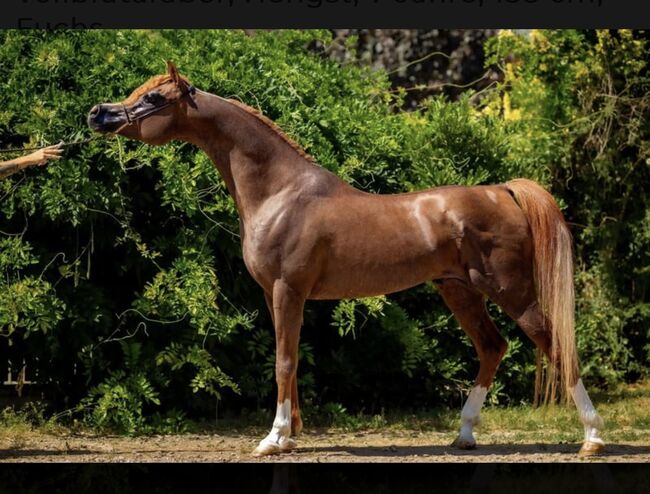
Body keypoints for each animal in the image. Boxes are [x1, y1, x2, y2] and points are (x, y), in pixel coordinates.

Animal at [90, 63, 604, 458]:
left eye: (153, 97)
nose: (99, 113)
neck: (281, 193)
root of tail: (502, 190)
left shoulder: (288, 290)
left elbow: (283, 362)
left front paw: (273, 439)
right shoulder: (276, 295)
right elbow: (291, 358)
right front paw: (290, 437)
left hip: (510, 290)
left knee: (556, 345)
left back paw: (592, 438)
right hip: (459, 290)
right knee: (492, 348)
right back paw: (463, 435)